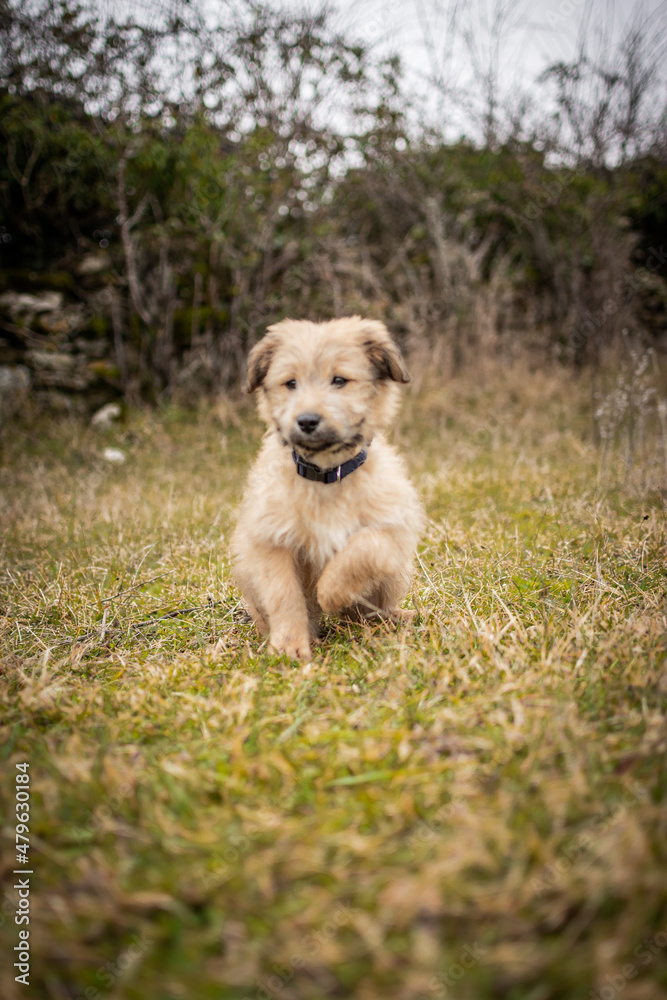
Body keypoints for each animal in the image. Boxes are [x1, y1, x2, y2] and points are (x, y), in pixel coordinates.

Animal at [232, 316, 426, 660]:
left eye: (339, 380)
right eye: (290, 383)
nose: (307, 421)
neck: (326, 473)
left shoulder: (394, 526)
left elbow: (362, 548)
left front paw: (331, 591)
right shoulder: (271, 540)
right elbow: (285, 595)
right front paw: (290, 645)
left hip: (397, 573)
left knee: (366, 613)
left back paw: (394, 617)